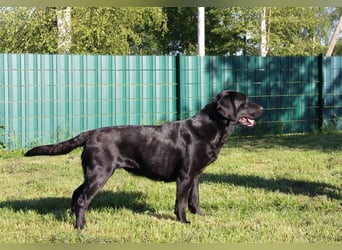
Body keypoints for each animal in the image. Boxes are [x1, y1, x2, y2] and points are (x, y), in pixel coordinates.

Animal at [25, 90, 264, 229]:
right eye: (244, 102)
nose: (262, 108)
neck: (208, 128)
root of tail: (90, 133)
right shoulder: (185, 176)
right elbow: (181, 203)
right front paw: (184, 221)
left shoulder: (196, 175)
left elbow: (194, 199)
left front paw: (201, 215)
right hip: (100, 173)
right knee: (83, 198)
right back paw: (81, 227)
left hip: (91, 172)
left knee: (76, 193)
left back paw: (73, 218)